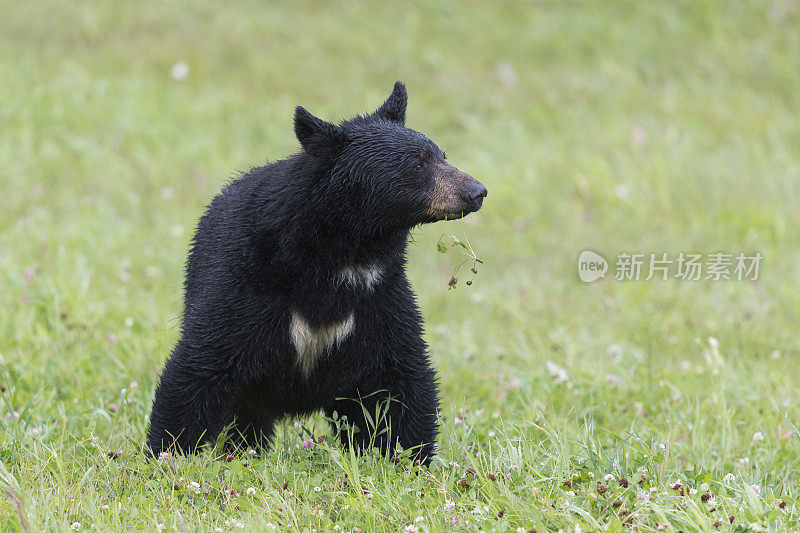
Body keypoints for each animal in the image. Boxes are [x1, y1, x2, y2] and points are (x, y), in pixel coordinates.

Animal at [149, 82, 488, 462]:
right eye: (417, 165)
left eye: (442, 155)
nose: (477, 191)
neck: (343, 256)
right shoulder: (247, 284)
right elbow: (201, 364)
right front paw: (167, 453)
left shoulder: (380, 297)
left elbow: (400, 376)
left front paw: (409, 458)